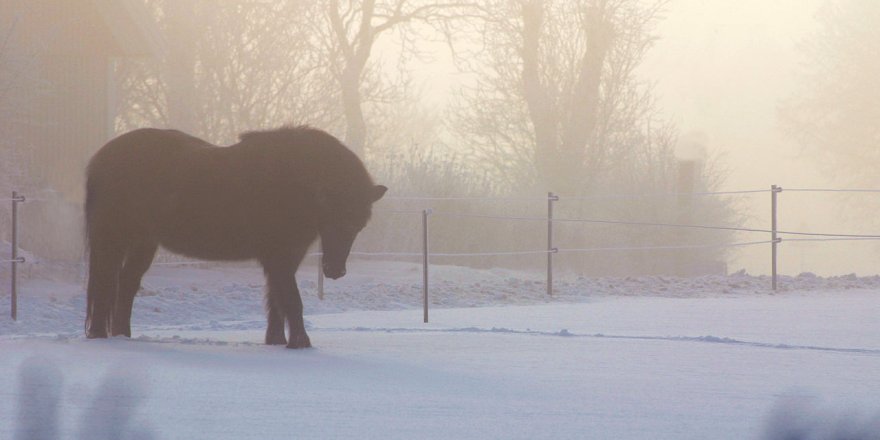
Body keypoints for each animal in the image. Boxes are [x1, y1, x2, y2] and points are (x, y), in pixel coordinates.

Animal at [85, 126, 384, 348]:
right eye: (336, 219)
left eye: (358, 226)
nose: (335, 271)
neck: (295, 183)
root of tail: (101, 158)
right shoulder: (279, 257)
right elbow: (291, 299)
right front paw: (301, 342)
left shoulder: (285, 258)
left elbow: (277, 299)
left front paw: (277, 340)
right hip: (112, 239)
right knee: (106, 283)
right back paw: (100, 335)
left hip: (143, 242)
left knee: (126, 284)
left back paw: (123, 335)